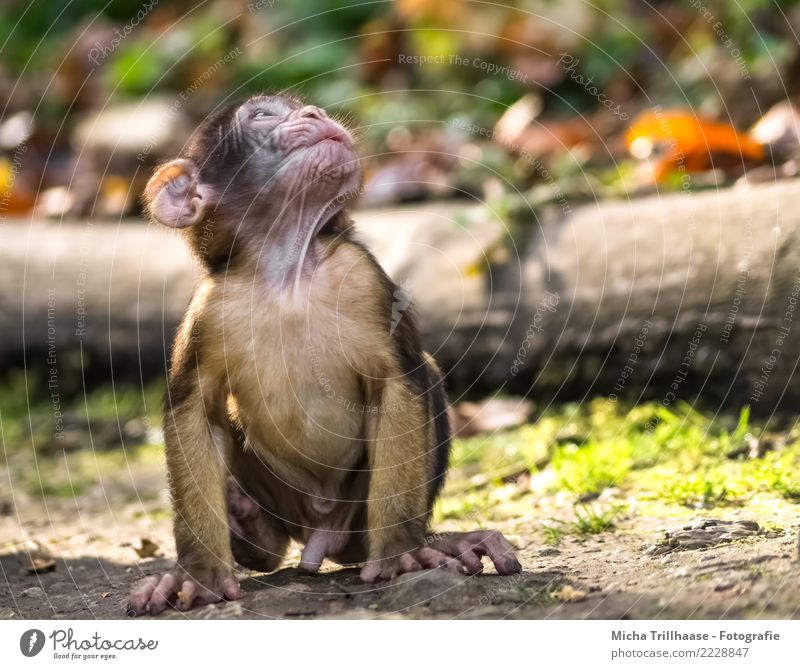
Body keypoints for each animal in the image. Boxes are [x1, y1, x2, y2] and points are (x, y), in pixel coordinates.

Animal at [128, 94, 520, 616]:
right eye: (262, 115)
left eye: (298, 107)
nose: (315, 113)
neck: (288, 274)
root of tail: (318, 532)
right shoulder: (208, 313)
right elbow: (192, 411)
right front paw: (198, 574)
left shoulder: (365, 279)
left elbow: (399, 382)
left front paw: (402, 552)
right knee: (268, 547)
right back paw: (248, 526)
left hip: (354, 513)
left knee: (427, 376)